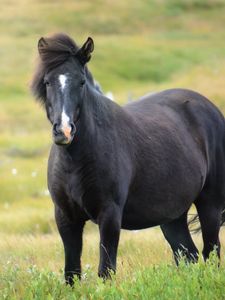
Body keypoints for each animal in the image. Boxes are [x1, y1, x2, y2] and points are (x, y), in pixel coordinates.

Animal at [31, 34, 225, 284]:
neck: (75, 162)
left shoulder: (110, 216)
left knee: (211, 252)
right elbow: (71, 274)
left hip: (210, 204)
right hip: (173, 216)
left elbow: (106, 271)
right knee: (188, 255)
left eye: (81, 82)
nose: (63, 131)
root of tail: (211, 109)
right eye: (47, 82)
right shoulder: (66, 218)